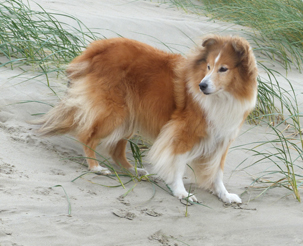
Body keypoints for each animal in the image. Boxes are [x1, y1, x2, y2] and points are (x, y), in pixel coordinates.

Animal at [35, 34, 258, 204]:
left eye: (223, 69)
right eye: (209, 66)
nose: (202, 86)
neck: (223, 97)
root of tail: (97, 46)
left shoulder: (222, 139)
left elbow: (217, 173)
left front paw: (225, 195)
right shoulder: (181, 133)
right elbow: (178, 164)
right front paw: (181, 192)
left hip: (129, 117)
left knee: (116, 150)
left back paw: (133, 170)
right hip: (115, 113)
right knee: (87, 136)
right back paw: (96, 167)